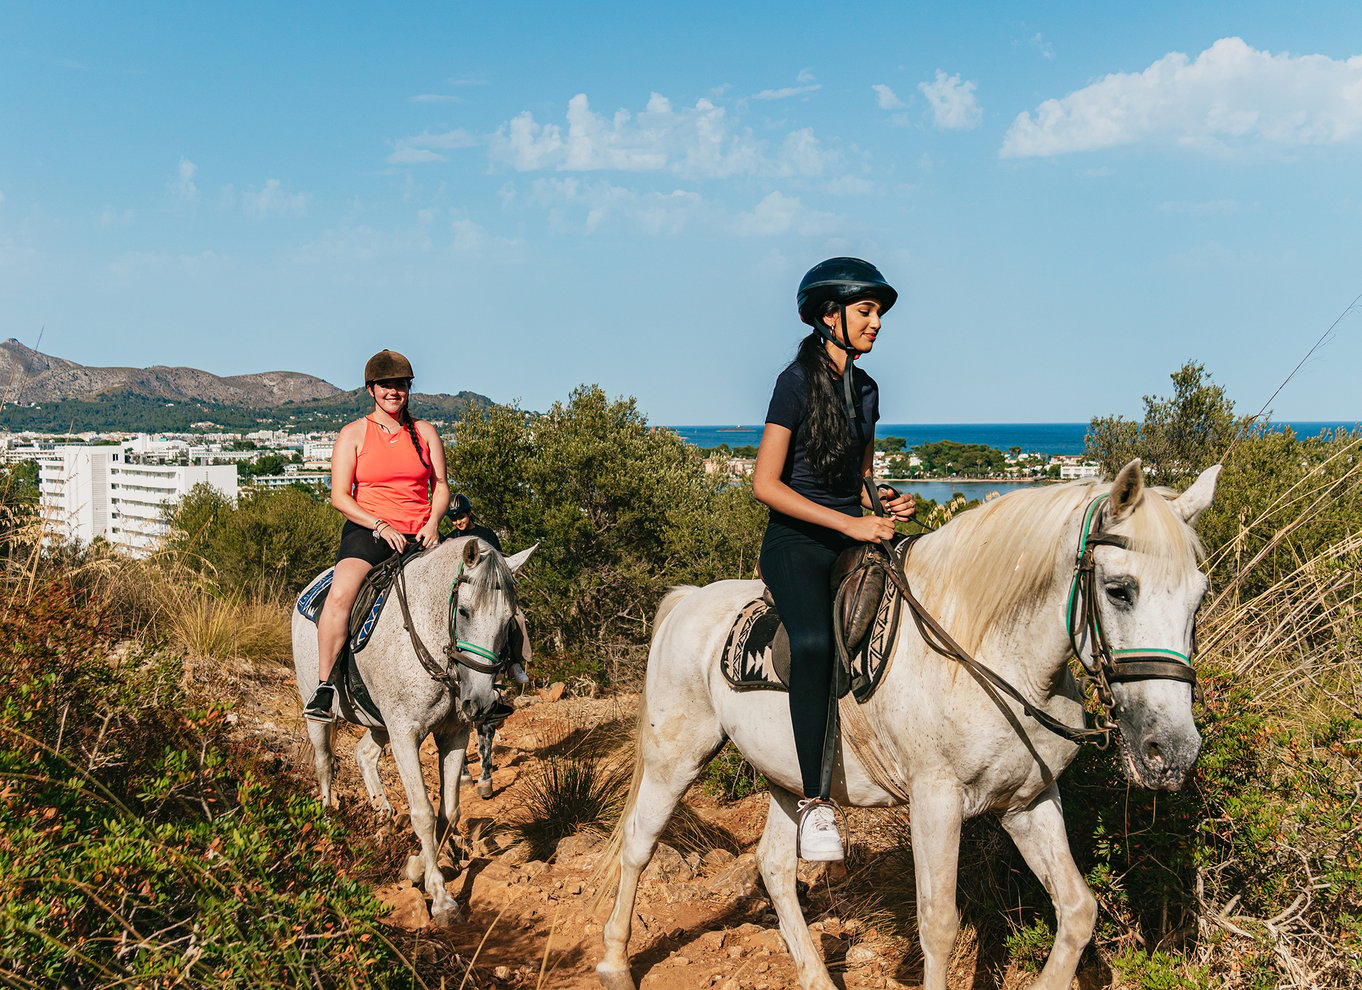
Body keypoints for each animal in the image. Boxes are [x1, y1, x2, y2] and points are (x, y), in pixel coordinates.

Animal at [291, 533, 531, 920]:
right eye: (464, 612)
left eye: (509, 620)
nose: (480, 702)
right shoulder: (405, 734)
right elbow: (423, 813)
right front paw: (440, 895)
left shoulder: (454, 734)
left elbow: (450, 811)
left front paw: (419, 865)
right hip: (318, 713)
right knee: (325, 763)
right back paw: (327, 824)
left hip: (377, 722)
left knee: (364, 754)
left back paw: (384, 816)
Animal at [596, 465, 1225, 990]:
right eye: (1120, 590)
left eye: (1199, 598)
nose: (1171, 751)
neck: (985, 653)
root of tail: (688, 601)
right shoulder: (936, 802)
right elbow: (939, 922)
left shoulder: (1029, 801)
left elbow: (1076, 909)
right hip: (675, 757)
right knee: (638, 844)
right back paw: (614, 964)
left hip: (788, 779)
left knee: (773, 866)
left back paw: (816, 978)